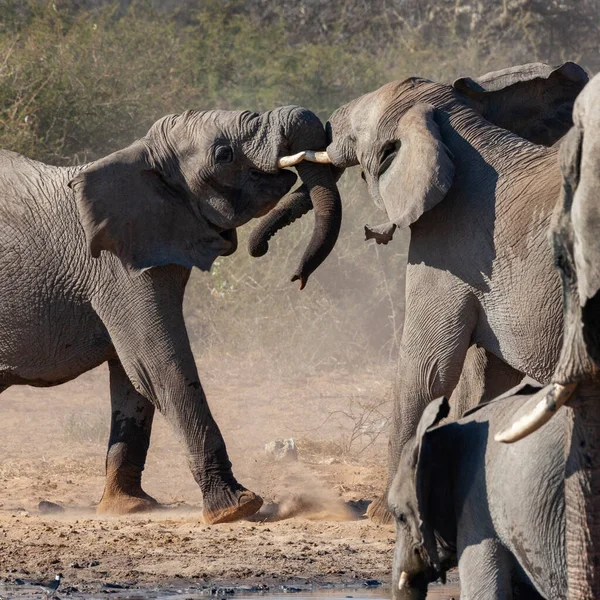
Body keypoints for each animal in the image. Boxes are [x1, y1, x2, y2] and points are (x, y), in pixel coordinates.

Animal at [0, 105, 340, 524]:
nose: (296, 277)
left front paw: (129, 507)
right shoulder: (116, 268)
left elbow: (134, 380)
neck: (140, 157)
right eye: (224, 154)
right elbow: (158, 365)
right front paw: (236, 508)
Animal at [246, 59, 588, 520]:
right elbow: (488, 380)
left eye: (355, 131)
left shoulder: (448, 248)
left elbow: (425, 370)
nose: (292, 275)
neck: (452, 127)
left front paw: (382, 512)